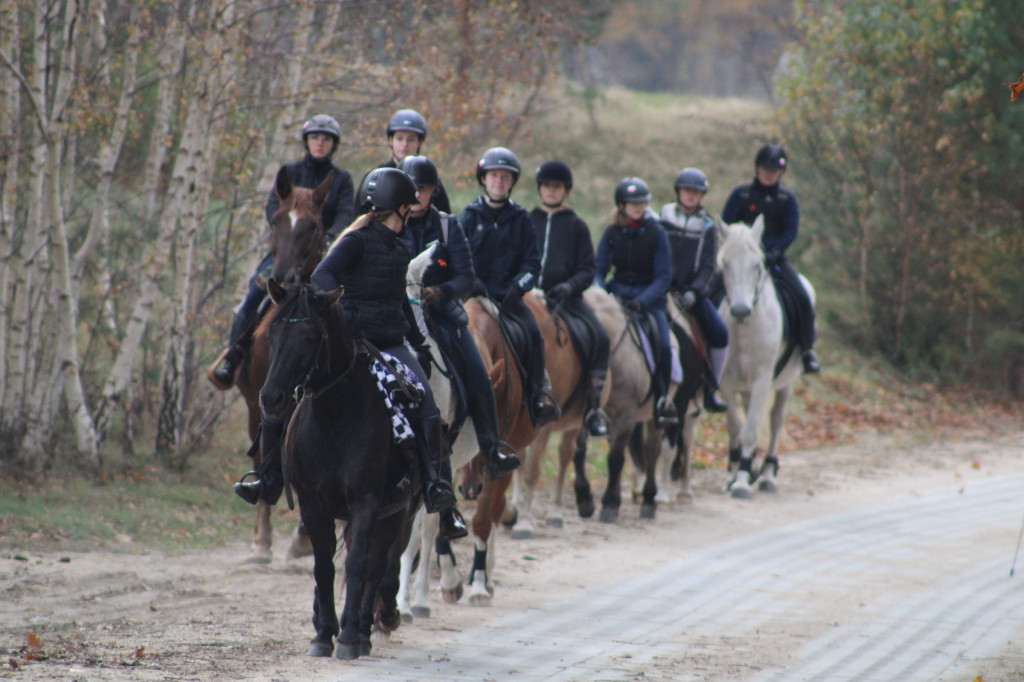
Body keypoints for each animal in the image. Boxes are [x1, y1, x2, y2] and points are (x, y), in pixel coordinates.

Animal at [214, 164, 329, 557]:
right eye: (276, 220)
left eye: (313, 226)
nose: (280, 278)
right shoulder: (261, 403)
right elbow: (264, 455)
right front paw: (262, 541)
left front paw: (304, 535)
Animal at [720, 215, 815, 497]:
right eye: (725, 263)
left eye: (757, 265)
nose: (740, 310)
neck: (744, 328)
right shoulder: (726, 383)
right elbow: (736, 426)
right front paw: (735, 473)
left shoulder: (762, 381)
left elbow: (751, 430)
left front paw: (742, 481)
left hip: (786, 384)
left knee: (775, 422)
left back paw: (768, 475)